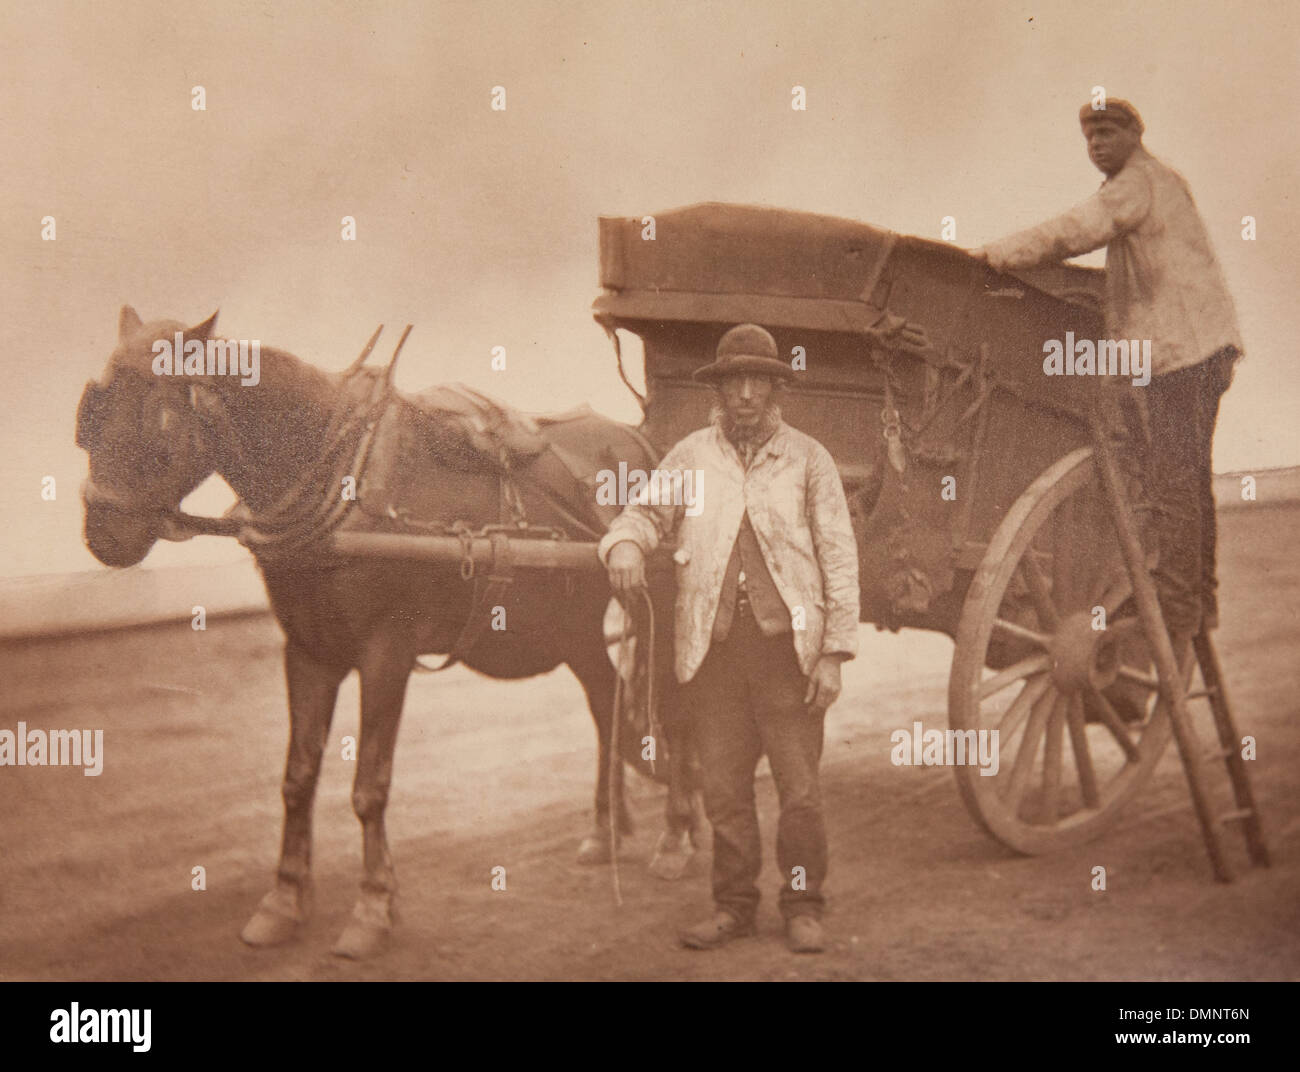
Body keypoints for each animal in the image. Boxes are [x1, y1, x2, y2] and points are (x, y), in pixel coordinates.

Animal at [73, 305, 702, 956]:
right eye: (91, 412)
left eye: (156, 419)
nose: (102, 533)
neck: (337, 475)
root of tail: (647, 442)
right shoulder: (307, 651)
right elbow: (297, 779)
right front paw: (283, 901)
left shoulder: (386, 654)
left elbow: (369, 786)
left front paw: (373, 907)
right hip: (572, 625)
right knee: (608, 704)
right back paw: (606, 831)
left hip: (661, 602)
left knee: (676, 711)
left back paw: (677, 835)